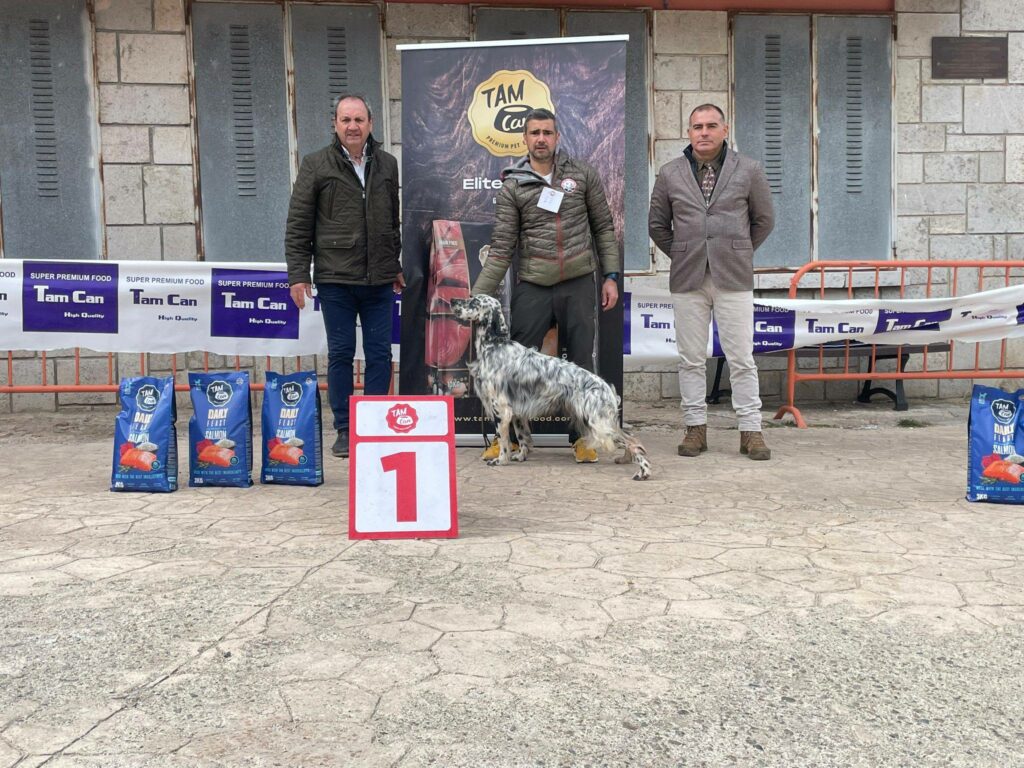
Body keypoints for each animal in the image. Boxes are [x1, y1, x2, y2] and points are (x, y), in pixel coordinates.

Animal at [449, 294, 651, 481]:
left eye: (474, 301)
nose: (452, 301)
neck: (495, 344)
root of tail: (606, 388)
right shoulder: (517, 412)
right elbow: (522, 437)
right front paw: (520, 456)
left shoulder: (501, 408)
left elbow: (503, 439)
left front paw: (500, 460)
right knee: (631, 437)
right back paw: (625, 460)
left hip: (597, 424)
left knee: (633, 442)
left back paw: (643, 472)